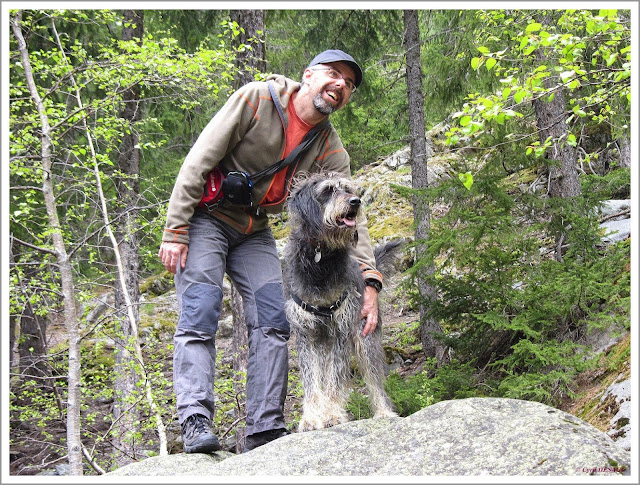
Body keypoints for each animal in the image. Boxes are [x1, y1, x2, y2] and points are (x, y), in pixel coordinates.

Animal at [283, 172, 399, 432]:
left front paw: (333, 414)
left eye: (348, 189)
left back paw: (384, 412)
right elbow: (312, 381)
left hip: (365, 337)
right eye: (328, 190)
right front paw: (312, 417)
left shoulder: (340, 331)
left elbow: (336, 379)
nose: (356, 202)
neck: (321, 258)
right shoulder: (305, 333)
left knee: (375, 379)